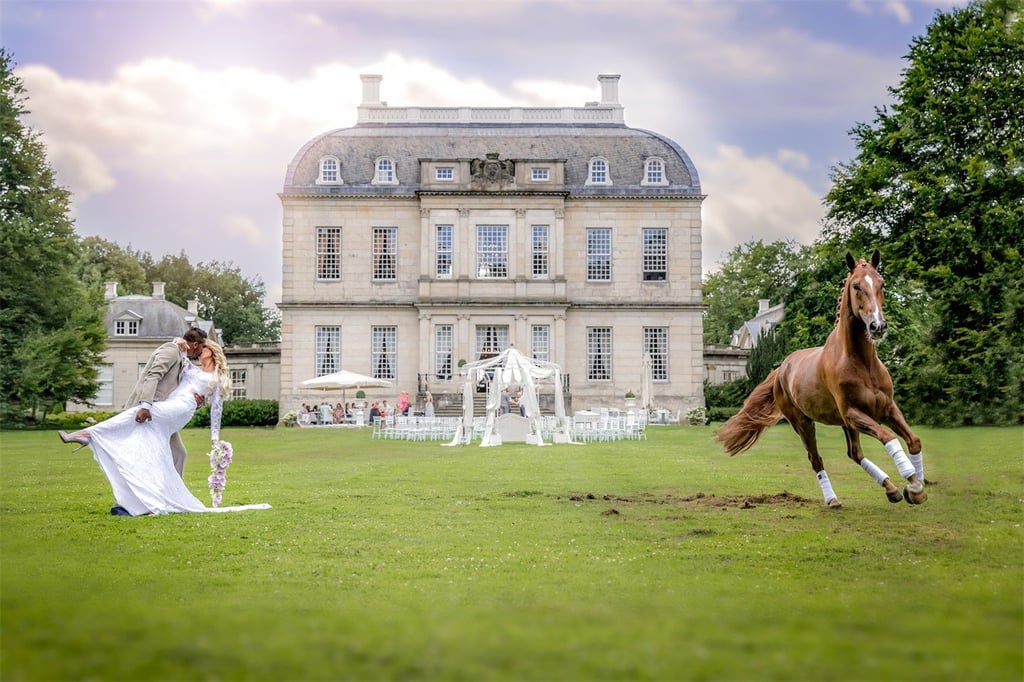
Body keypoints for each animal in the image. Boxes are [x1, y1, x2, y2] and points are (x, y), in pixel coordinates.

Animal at [712, 249, 929, 503]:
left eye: (881, 283)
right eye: (856, 286)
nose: (878, 327)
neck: (862, 363)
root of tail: (782, 368)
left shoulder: (887, 409)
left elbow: (914, 440)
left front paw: (917, 488)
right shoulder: (854, 414)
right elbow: (889, 437)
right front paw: (913, 485)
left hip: (842, 424)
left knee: (854, 453)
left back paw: (891, 489)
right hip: (804, 423)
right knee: (816, 459)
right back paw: (833, 500)